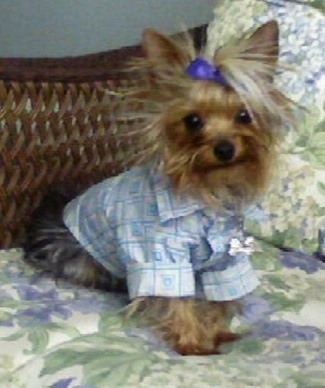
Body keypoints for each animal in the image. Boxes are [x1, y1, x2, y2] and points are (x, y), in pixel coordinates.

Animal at [23, 20, 292, 354]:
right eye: (193, 120)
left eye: (244, 115)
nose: (225, 148)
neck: (205, 195)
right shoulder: (160, 256)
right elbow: (176, 298)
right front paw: (193, 343)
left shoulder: (226, 260)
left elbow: (219, 299)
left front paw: (216, 332)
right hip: (78, 257)